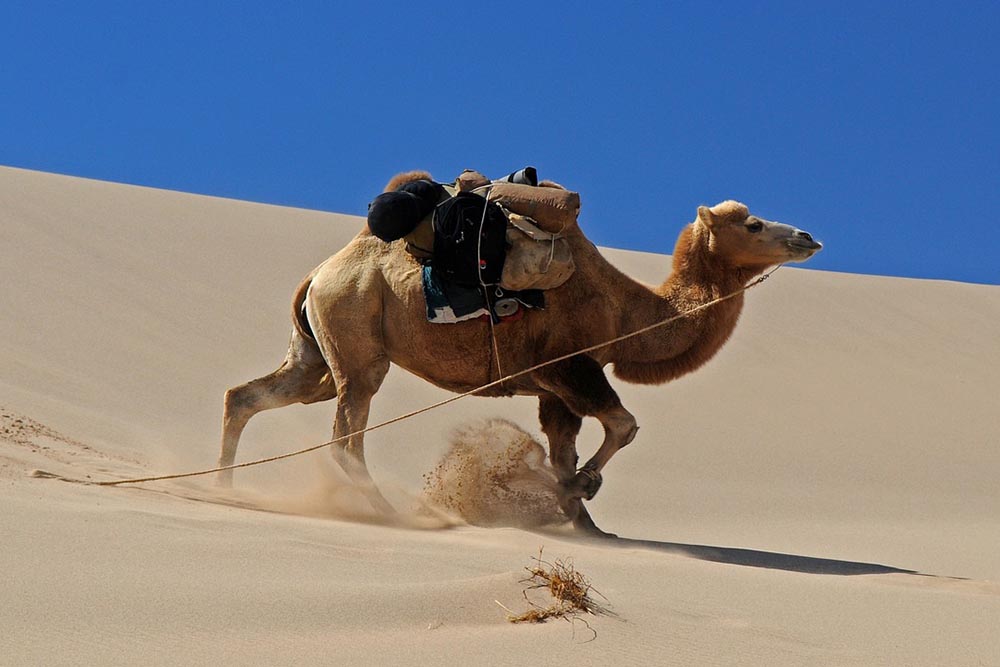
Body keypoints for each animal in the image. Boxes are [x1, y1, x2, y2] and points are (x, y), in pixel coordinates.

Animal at [219, 174, 820, 536]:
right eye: (753, 224)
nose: (808, 236)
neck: (628, 313)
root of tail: (319, 274)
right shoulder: (569, 365)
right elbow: (622, 426)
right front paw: (577, 489)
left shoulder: (555, 389)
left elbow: (565, 447)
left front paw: (588, 524)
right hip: (357, 335)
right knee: (346, 433)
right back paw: (393, 512)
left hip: (316, 354)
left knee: (249, 396)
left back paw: (223, 488)